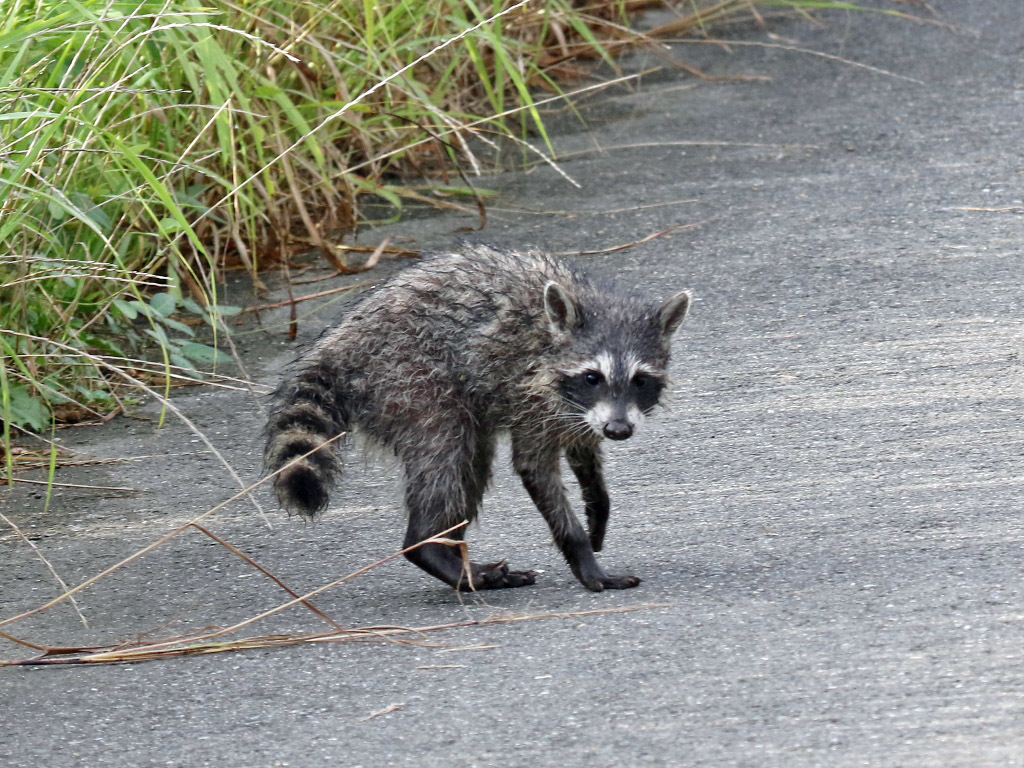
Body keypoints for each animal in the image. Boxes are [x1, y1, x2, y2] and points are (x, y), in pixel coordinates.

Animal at [268, 243, 692, 593]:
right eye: (593, 377)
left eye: (640, 380)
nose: (618, 430)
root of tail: (339, 343)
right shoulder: (529, 394)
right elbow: (533, 465)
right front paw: (582, 554)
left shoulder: (578, 410)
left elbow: (582, 448)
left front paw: (597, 500)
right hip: (409, 382)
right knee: (446, 457)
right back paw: (429, 546)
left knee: (470, 463)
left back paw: (451, 550)